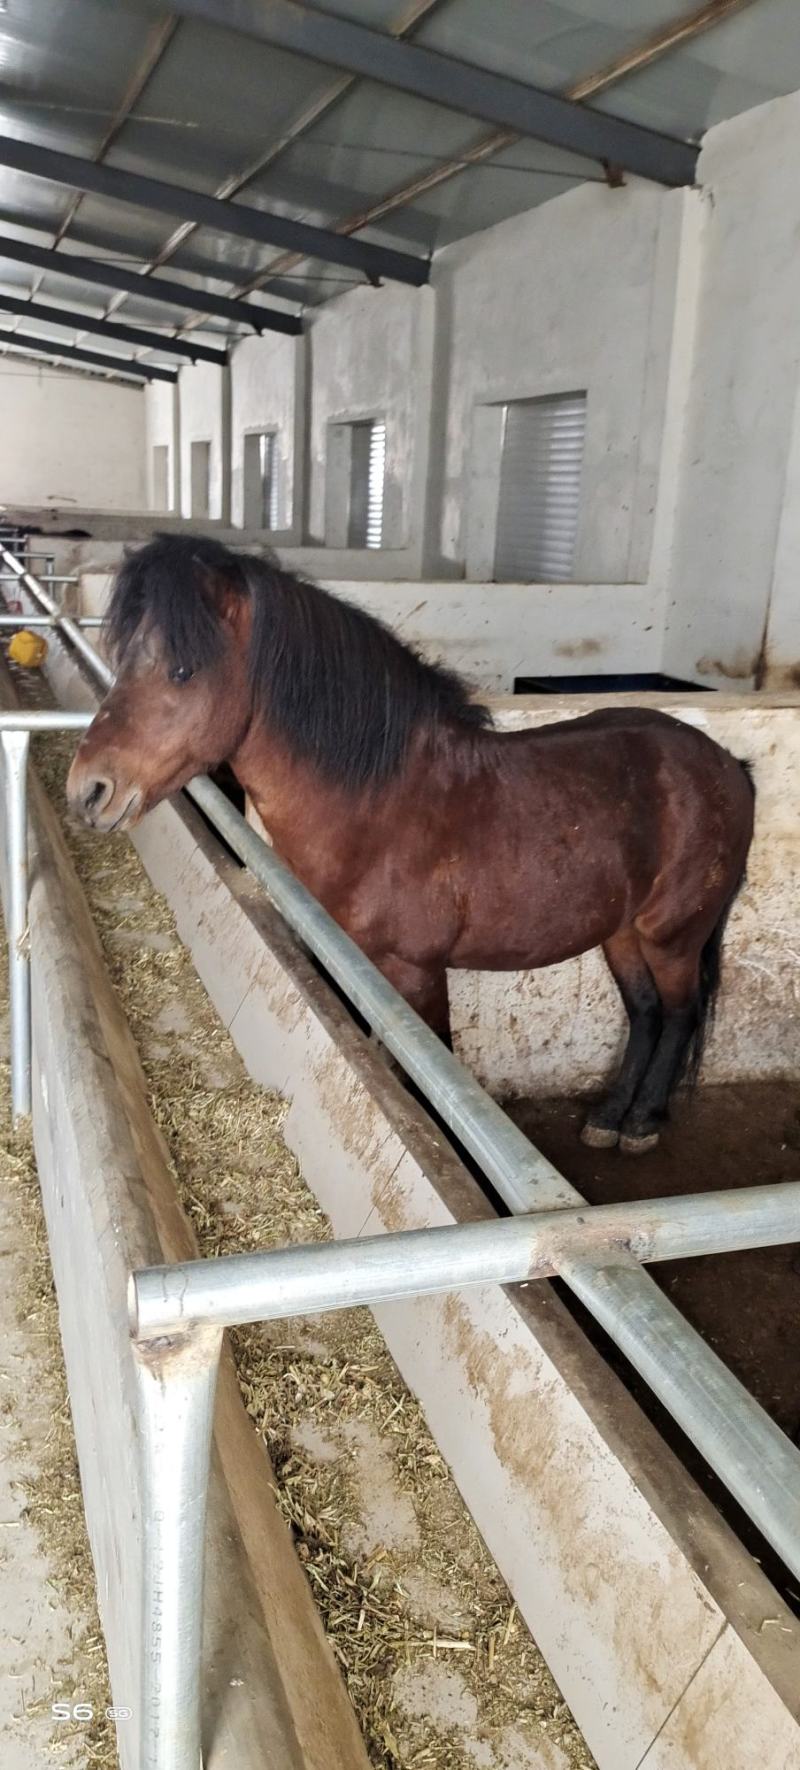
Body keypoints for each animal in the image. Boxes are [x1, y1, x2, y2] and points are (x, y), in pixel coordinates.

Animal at [67, 534, 755, 1155]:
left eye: (182, 671)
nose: (88, 790)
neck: (382, 805)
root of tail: (728, 764)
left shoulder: (418, 974)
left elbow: (432, 1079)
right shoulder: (372, 973)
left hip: (672, 938)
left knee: (678, 1015)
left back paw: (641, 1124)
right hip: (623, 935)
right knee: (645, 1013)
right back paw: (609, 1118)